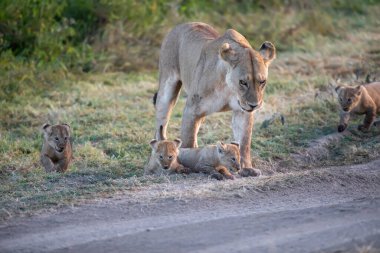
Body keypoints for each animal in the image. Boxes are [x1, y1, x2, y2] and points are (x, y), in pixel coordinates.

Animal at [153, 22, 274, 176]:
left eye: (262, 81)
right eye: (243, 82)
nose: (254, 105)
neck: (229, 88)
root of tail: (182, 24)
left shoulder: (242, 111)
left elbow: (244, 142)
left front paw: (247, 168)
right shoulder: (192, 109)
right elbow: (187, 141)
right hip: (167, 89)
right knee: (160, 125)